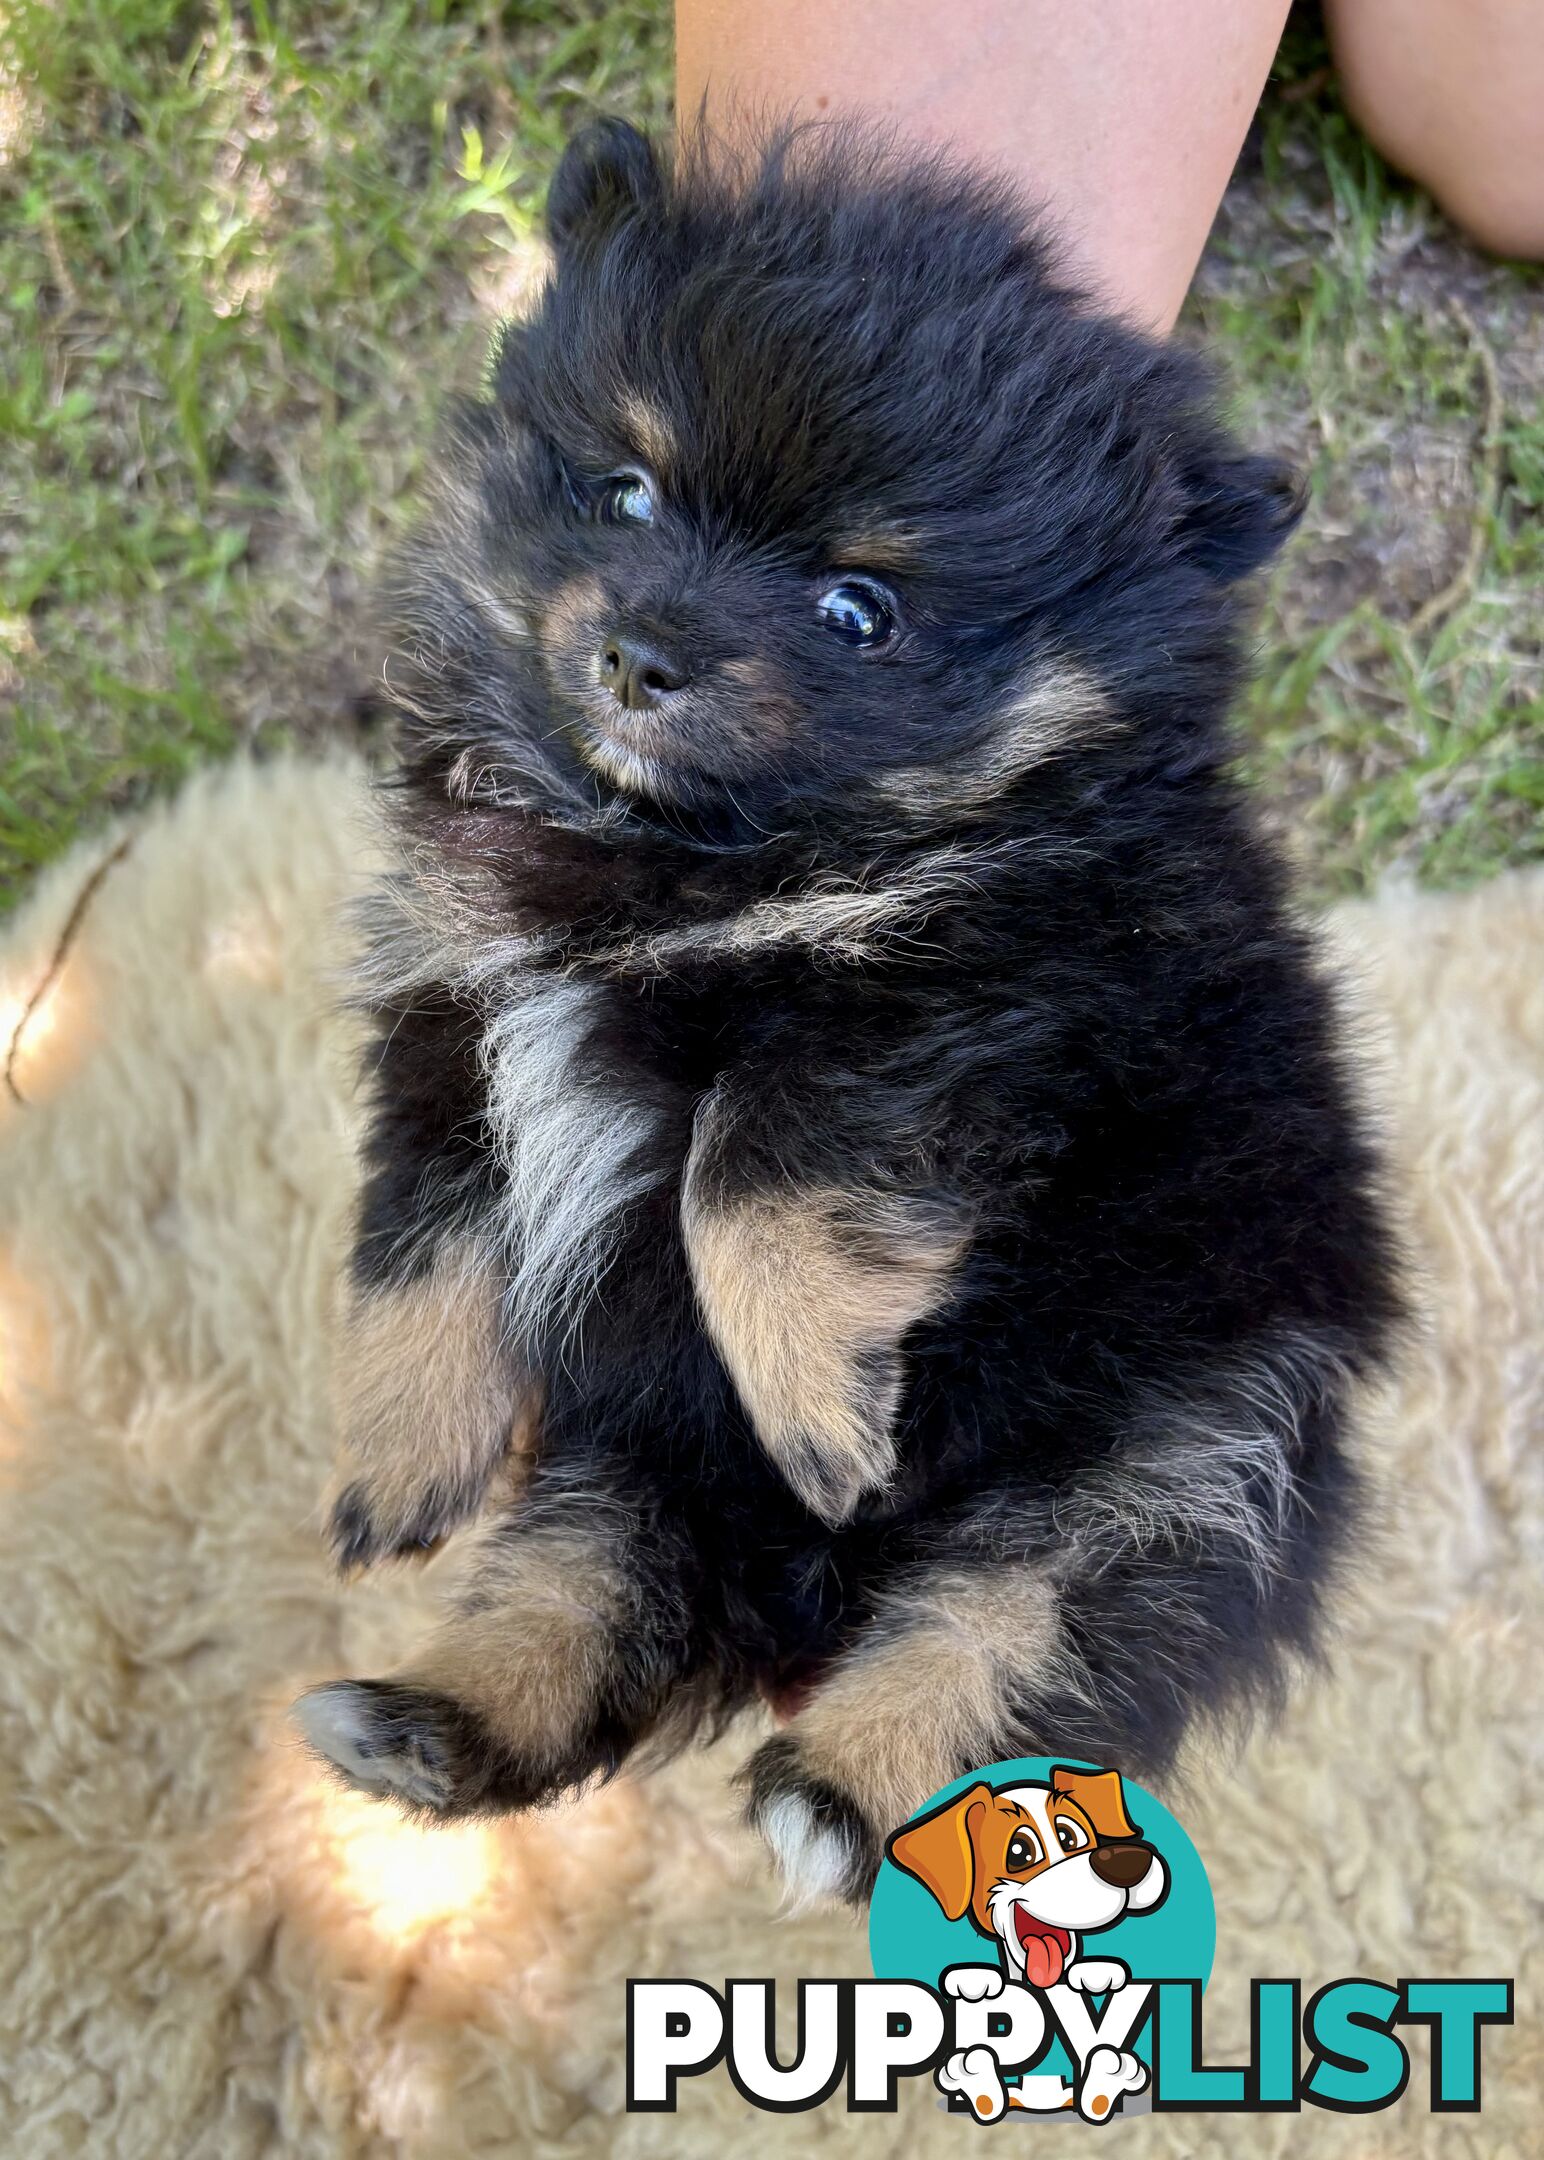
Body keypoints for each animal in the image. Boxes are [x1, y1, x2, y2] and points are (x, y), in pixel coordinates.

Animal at [293, 122, 1399, 1909]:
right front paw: (399, 1467)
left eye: (857, 612)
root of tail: (808, 1593)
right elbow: (423, 1250)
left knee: (1037, 1617)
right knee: (591, 1590)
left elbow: (743, 1176)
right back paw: (421, 1722)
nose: (643, 650)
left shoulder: (948, 999)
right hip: (648, 1461)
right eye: (625, 491)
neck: (667, 863)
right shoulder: (453, 1008)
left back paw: (850, 1792)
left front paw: (823, 1415)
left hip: (1183, 1441)